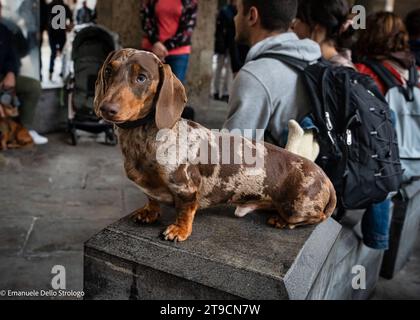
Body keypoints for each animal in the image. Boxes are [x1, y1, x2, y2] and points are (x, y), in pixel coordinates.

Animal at [93, 48, 336, 241]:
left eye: (142, 77)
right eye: (109, 70)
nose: (106, 109)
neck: (143, 139)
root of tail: (326, 178)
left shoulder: (187, 188)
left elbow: (186, 210)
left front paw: (179, 230)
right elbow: (152, 199)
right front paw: (149, 212)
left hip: (297, 208)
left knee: (315, 217)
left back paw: (283, 221)